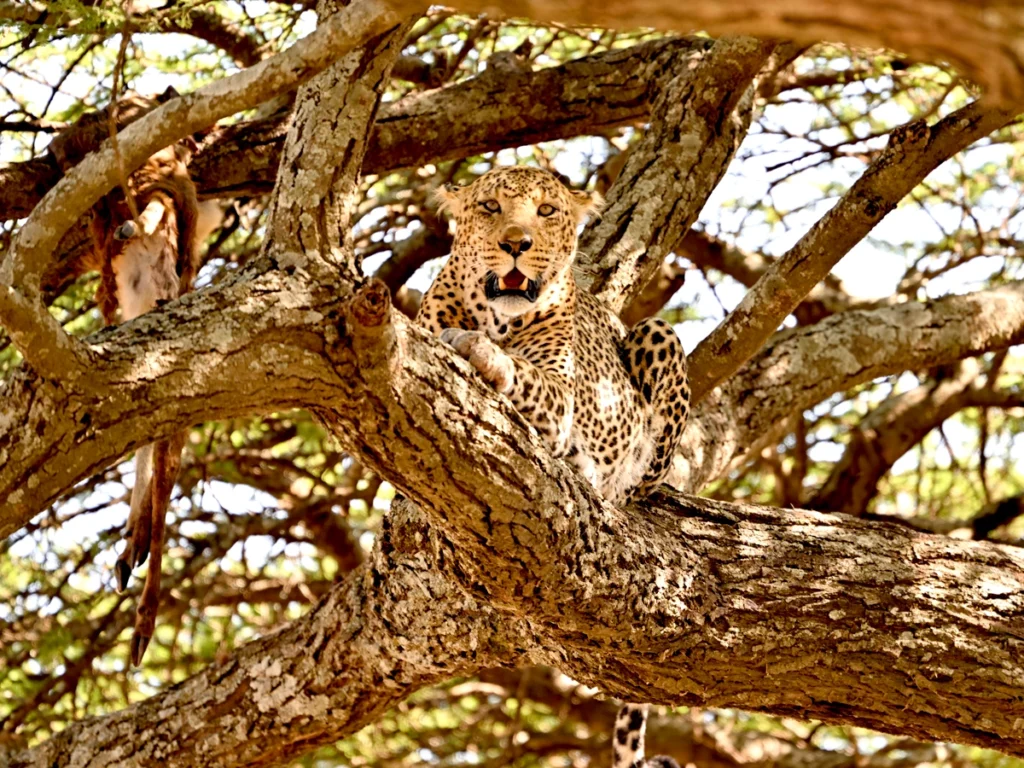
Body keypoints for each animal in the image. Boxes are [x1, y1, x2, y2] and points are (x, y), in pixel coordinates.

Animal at [413, 164, 688, 501]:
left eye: (546, 210)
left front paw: (480, 348)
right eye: (490, 206)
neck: (498, 319)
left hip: (660, 331)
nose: (516, 244)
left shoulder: (560, 395)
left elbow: (525, 371)